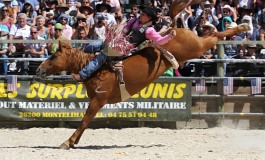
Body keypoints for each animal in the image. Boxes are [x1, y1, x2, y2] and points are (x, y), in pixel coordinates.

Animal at [35, 0, 250, 150]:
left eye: (53, 56)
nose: (38, 70)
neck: (94, 68)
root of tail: (174, 27)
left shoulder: (98, 100)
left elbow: (84, 121)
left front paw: (68, 142)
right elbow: (85, 122)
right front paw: (73, 142)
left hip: (197, 47)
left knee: (215, 37)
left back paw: (241, 27)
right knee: (211, 35)